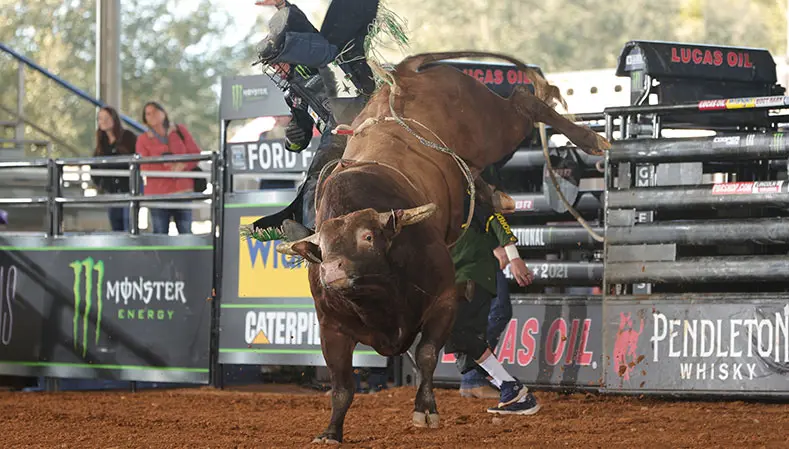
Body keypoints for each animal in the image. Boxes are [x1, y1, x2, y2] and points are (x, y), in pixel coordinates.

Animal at [274, 51, 609, 444]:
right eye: (322, 249)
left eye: (368, 237)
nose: (332, 271)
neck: (377, 296)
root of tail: (405, 75)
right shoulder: (332, 327)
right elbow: (342, 385)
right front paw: (331, 431)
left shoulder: (445, 300)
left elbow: (428, 354)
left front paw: (426, 411)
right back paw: (497, 193)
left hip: (491, 126)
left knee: (524, 102)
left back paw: (590, 139)